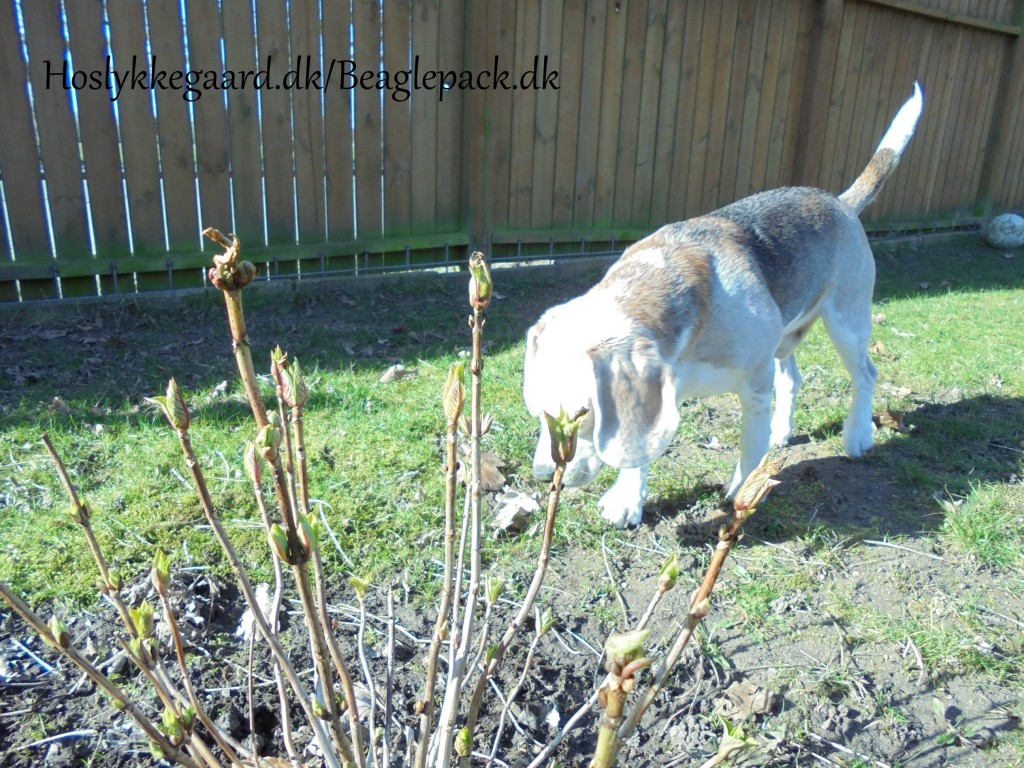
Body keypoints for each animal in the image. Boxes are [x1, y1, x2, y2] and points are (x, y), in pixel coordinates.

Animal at [524, 83, 925, 528]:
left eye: (582, 415)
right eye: (537, 410)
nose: (541, 474)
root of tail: (840, 202)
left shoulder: (754, 382)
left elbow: (750, 445)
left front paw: (744, 489)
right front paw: (627, 498)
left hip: (847, 322)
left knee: (865, 374)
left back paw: (856, 435)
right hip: (785, 337)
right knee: (792, 378)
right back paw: (782, 431)